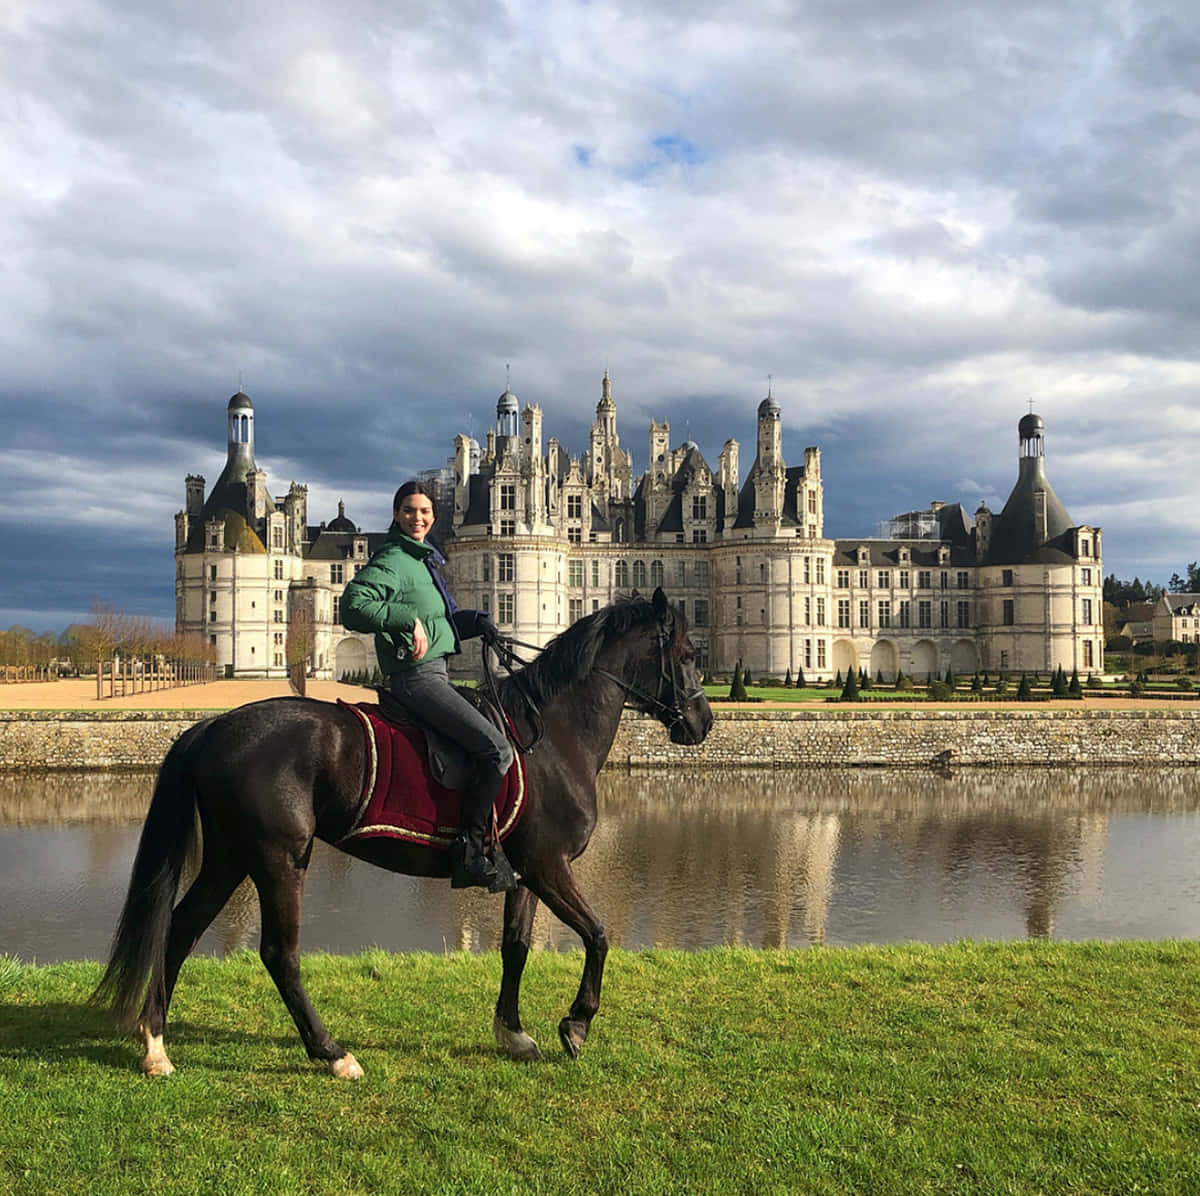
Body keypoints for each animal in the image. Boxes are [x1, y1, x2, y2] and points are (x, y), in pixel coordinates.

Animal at [96, 587, 710, 1074]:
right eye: (686, 655)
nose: (704, 724)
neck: (554, 737)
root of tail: (211, 723)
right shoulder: (548, 865)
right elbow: (599, 935)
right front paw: (575, 1025)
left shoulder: (526, 870)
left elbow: (516, 947)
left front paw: (513, 1032)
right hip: (279, 857)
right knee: (278, 952)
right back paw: (332, 1053)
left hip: (231, 856)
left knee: (181, 928)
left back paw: (156, 1045)